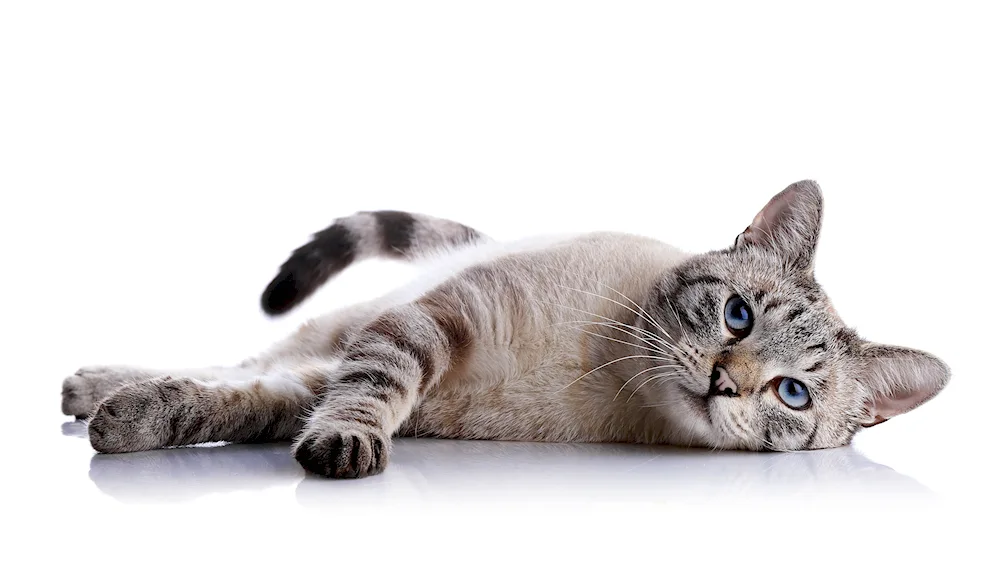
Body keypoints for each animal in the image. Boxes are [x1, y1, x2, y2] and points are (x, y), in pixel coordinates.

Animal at [64, 180, 952, 476]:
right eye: (737, 315)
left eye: (792, 394)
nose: (722, 383)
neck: (605, 374)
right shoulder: (430, 325)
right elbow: (364, 390)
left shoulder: (338, 383)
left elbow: (234, 404)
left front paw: (129, 422)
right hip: (349, 323)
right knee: (245, 354)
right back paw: (85, 386)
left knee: (243, 368)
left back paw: (94, 399)